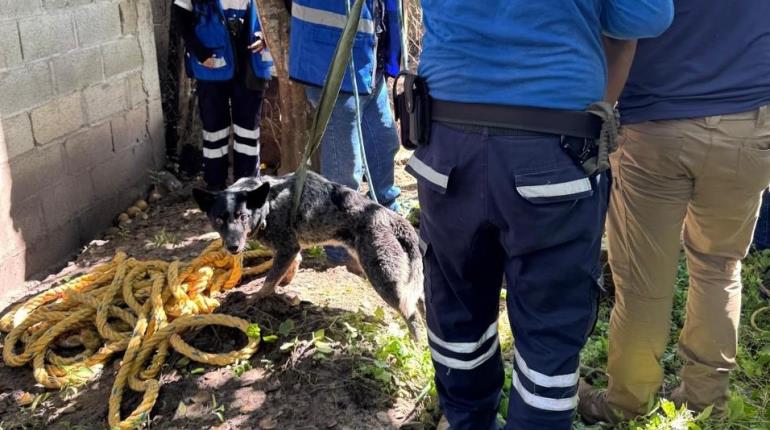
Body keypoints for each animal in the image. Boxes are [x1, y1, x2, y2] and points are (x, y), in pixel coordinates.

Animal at [190, 170, 424, 336]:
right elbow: (291, 265)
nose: (233, 247)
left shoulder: (287, 247)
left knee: (411, 315)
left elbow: (268, 282)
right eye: (219, 219)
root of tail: (396, 220)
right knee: (421, 303)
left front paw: (255, 298)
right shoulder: (292, 248)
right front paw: (287, 281)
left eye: (242, 216)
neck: (269, 204)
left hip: (384, 280)